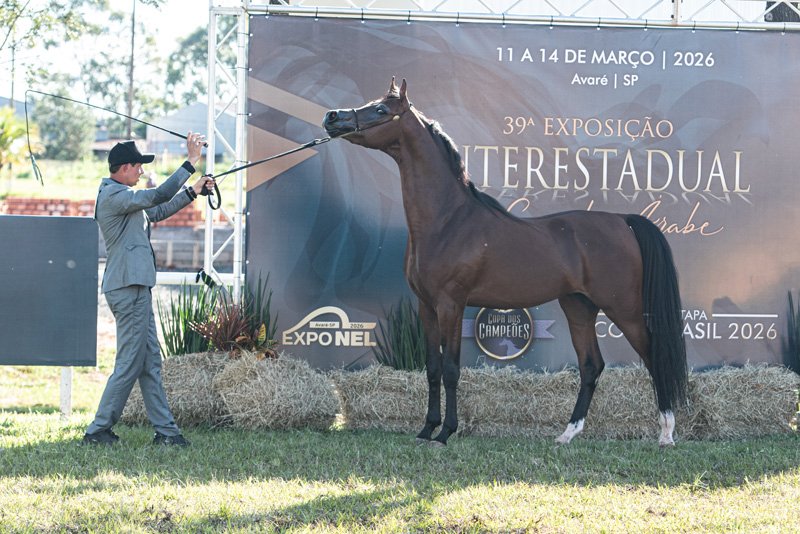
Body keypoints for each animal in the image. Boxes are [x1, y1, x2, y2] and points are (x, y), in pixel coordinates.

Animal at [322, 78, 688, 447]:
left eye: (381, 109)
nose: (332, 117)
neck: (448, 220)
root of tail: (623, 221)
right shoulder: (426, 306)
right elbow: (433, 368)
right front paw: (426, 429)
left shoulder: (451, 304)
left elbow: (451, 369)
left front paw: (445, 433)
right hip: (579, 307)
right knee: (591, 366)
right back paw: (567, 434)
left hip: (623, 308)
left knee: (653, 358)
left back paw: (666, 435)